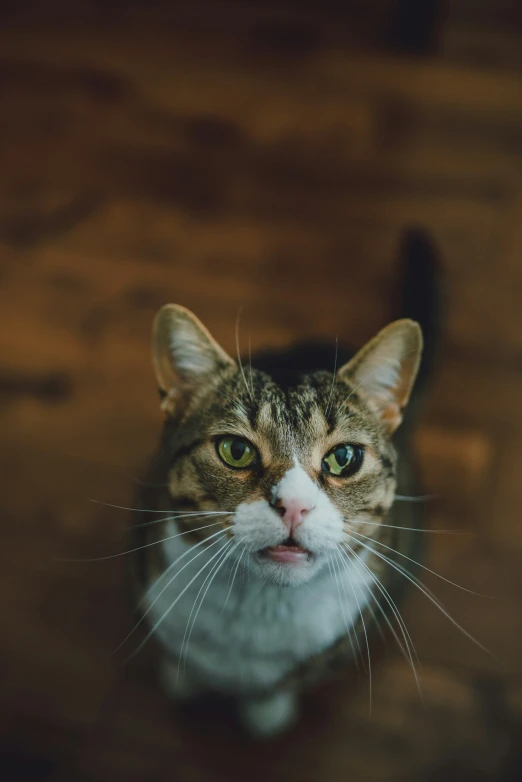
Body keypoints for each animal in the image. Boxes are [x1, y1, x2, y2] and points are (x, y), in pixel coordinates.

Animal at [126, 228, 438, 740]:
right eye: (236, 450)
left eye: (343, 458)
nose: (293, 506)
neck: (259, 606)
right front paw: (180, 676)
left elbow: (275, 687)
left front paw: (265, 712)